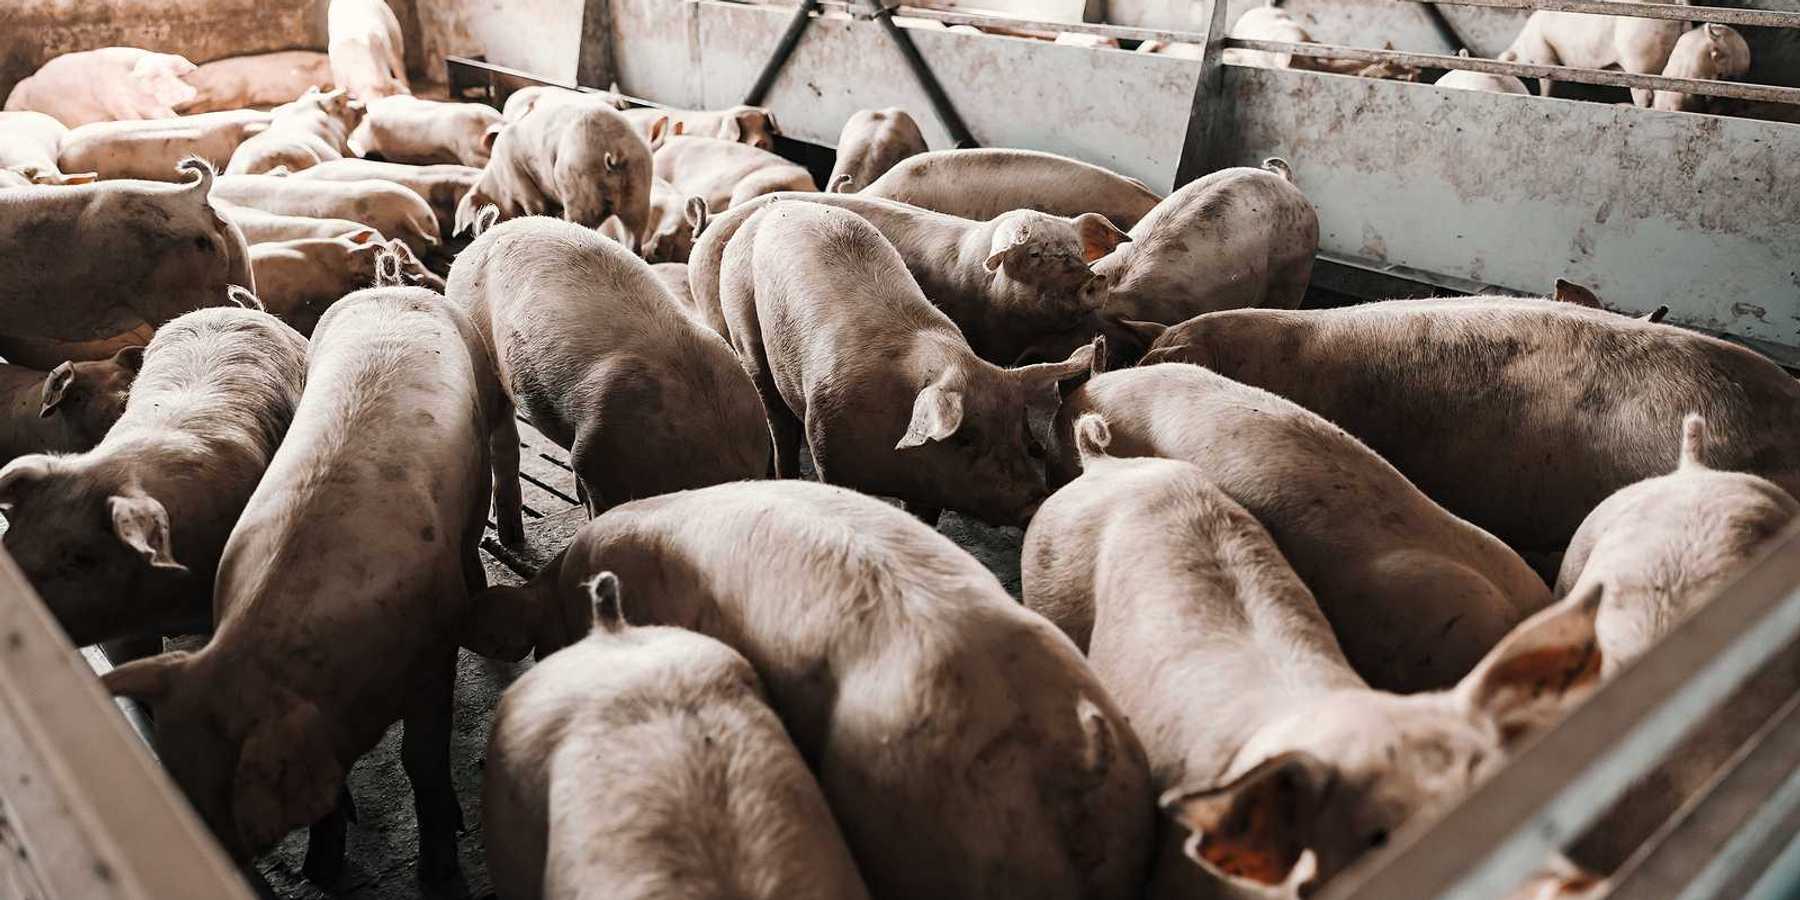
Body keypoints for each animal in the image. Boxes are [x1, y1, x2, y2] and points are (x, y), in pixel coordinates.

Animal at [4, 48, 198, 127]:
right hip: (15, 98)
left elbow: (166, 114)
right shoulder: (113, 99)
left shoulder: (153, 105)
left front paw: (176, 118)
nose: (187, 92)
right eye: (155, 76)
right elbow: (130, 116)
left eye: (174, 74)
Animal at [102, 285, 501, 885]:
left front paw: (438, 873)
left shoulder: (433, 649)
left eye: (228, 804)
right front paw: (319, 870)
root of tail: (391, 287)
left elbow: (422, 759)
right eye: (176, 778)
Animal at [453, 101, 660, 243]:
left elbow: (536, 209)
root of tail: (615, 152)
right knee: (635, 237)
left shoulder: (521, 184)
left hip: (579, 190)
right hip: (639, 191)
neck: (498, 184)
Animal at [719, 201, 1093, 526]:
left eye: (1018, 428)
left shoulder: (933, 483)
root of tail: (771, 209)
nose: (1035, 503)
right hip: (745, 329)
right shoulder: (827, 445)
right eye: (965, 437)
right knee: (778, 419)